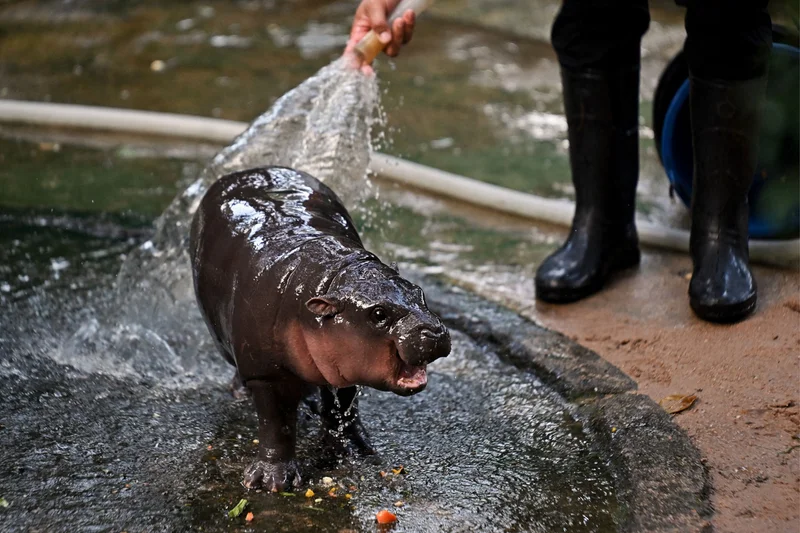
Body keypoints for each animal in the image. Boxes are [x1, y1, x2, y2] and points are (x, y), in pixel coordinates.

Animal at [189, 166, 451, 491]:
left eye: (419, 292)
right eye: (378, 314)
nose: (435, 331)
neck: (329, 278)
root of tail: (248, 171)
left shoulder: (346, 363)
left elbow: (345, 407)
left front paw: (354, 449)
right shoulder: (266, 373)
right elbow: (277, 424)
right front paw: (272, 482)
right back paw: (241, 393)